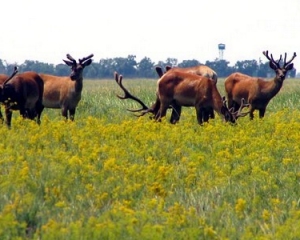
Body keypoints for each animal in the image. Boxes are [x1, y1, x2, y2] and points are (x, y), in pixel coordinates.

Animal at [115, 69, 248, 124]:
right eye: (230, 119)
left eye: (235, 119)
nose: (235, 126)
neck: (210, 93)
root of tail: (159, 80)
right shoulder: (198, 104)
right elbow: (200, 122)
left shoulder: (207, 107)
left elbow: (206, 121)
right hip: (165, 99)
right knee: (159, 116)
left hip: (174, 103)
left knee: (167, 118)